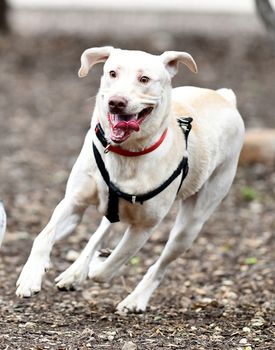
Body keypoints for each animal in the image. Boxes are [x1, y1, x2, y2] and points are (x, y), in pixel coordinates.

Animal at [15, 47, 246, 314]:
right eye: (112, 73)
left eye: (144, 79)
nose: (116, 101)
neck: (125, 153)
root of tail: (225, 98)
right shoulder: (73, 204)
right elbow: (44, 236)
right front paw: (30, 276)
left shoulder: (143, 227)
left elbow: (109, 267)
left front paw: (98, 265)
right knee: (102, 229)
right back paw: (75, 272)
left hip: (191, 224)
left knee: (160, 265)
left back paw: (134, 299)